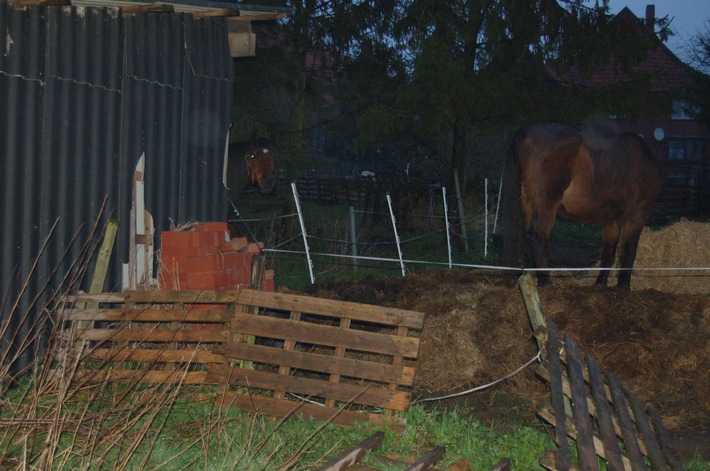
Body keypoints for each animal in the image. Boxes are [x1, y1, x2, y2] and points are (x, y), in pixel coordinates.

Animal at [500, 123, 660, 290]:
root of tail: (525, 131)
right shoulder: (637, 216)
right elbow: (629, 251)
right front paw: (623, 287)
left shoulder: (613, 220)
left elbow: (609, 252)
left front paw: (600, 284)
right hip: (546, 207)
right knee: (539, 241)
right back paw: (546, 282)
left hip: (525, 205)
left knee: (520, 239)